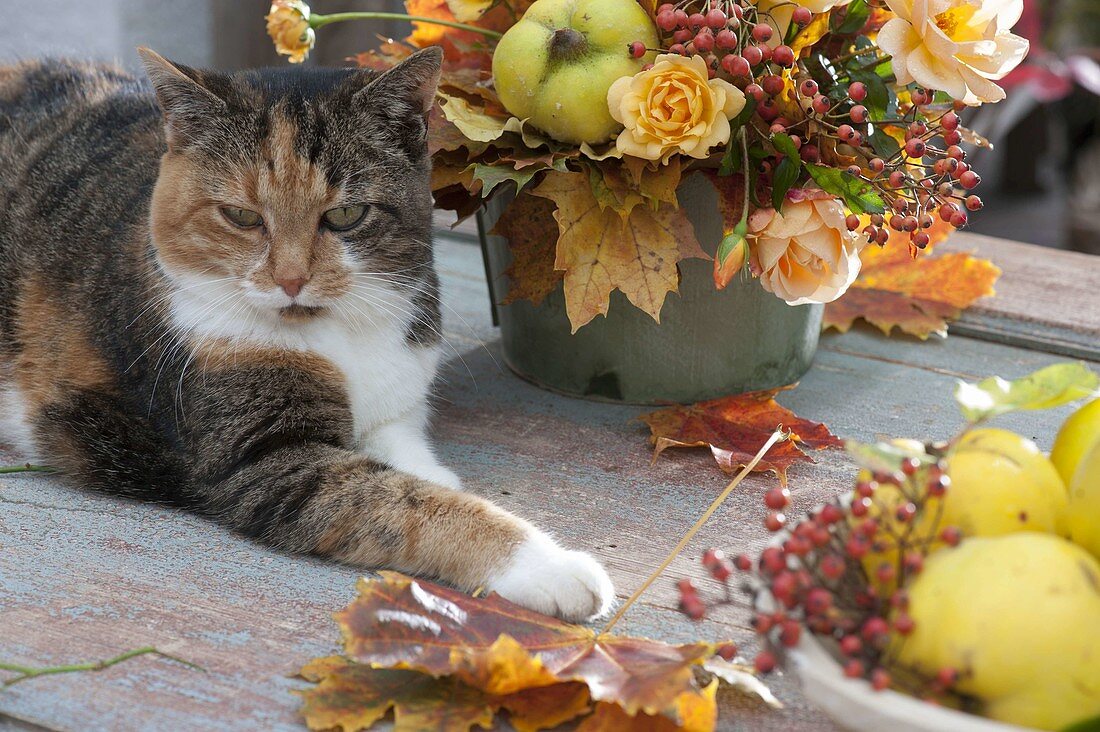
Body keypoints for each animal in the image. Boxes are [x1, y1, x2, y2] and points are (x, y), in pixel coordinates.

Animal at [0, 47, 616, 616]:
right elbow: (403, 501)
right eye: (242, 217)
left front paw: (438, 476)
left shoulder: (394, 406)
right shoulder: (266, 460)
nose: (291, 279)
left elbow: (411, 467)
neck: (337, 335)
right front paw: (552, 567)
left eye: (345, 216)